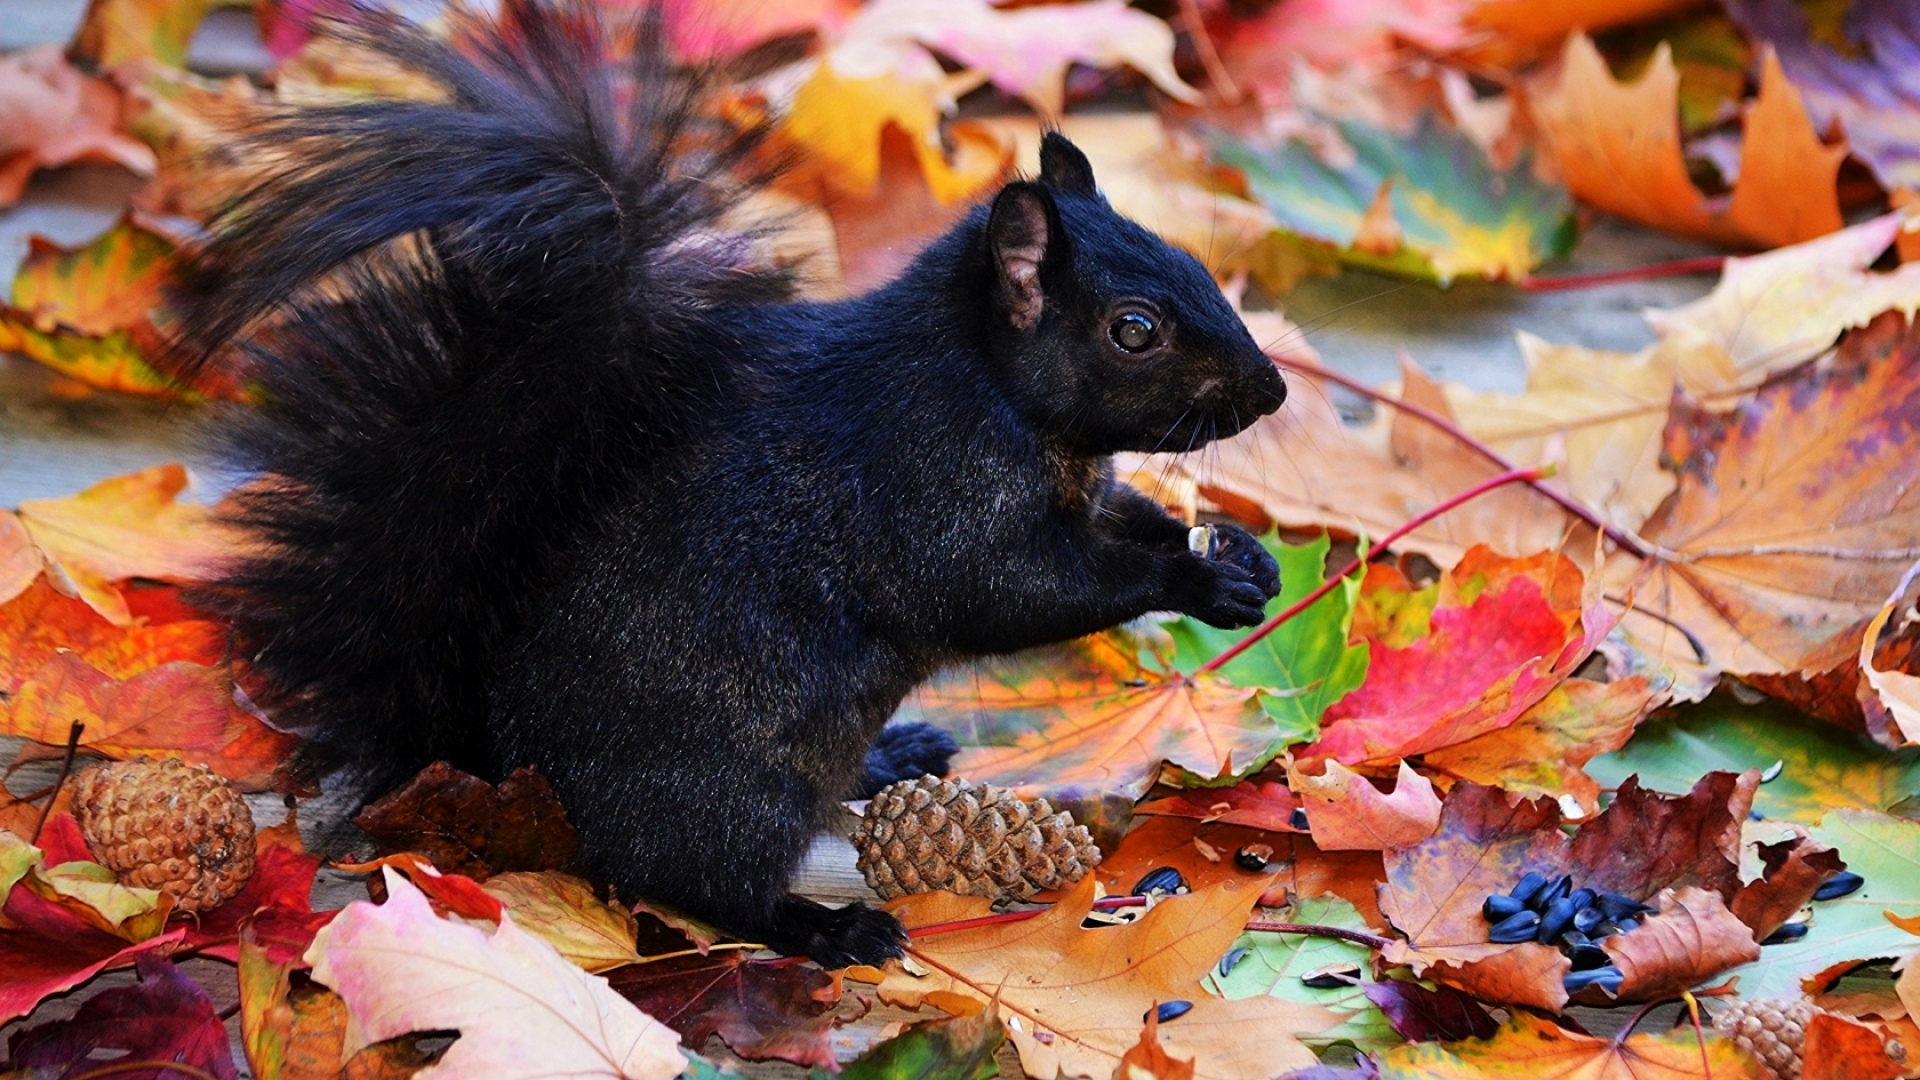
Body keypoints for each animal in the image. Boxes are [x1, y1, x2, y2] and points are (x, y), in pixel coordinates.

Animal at [176, 0, 1290, 957]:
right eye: (1134, 331)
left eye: (1194, 262)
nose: (1274, 389)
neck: (997, 391)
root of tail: (514, 776)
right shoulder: (933, 488)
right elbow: (1017, 591)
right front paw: (1191, 579)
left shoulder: (1080, 489)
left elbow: (1127, 520)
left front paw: (1239, 561)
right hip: (736, 792)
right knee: (701, 883)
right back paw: (826, 929)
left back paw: (893, 757)